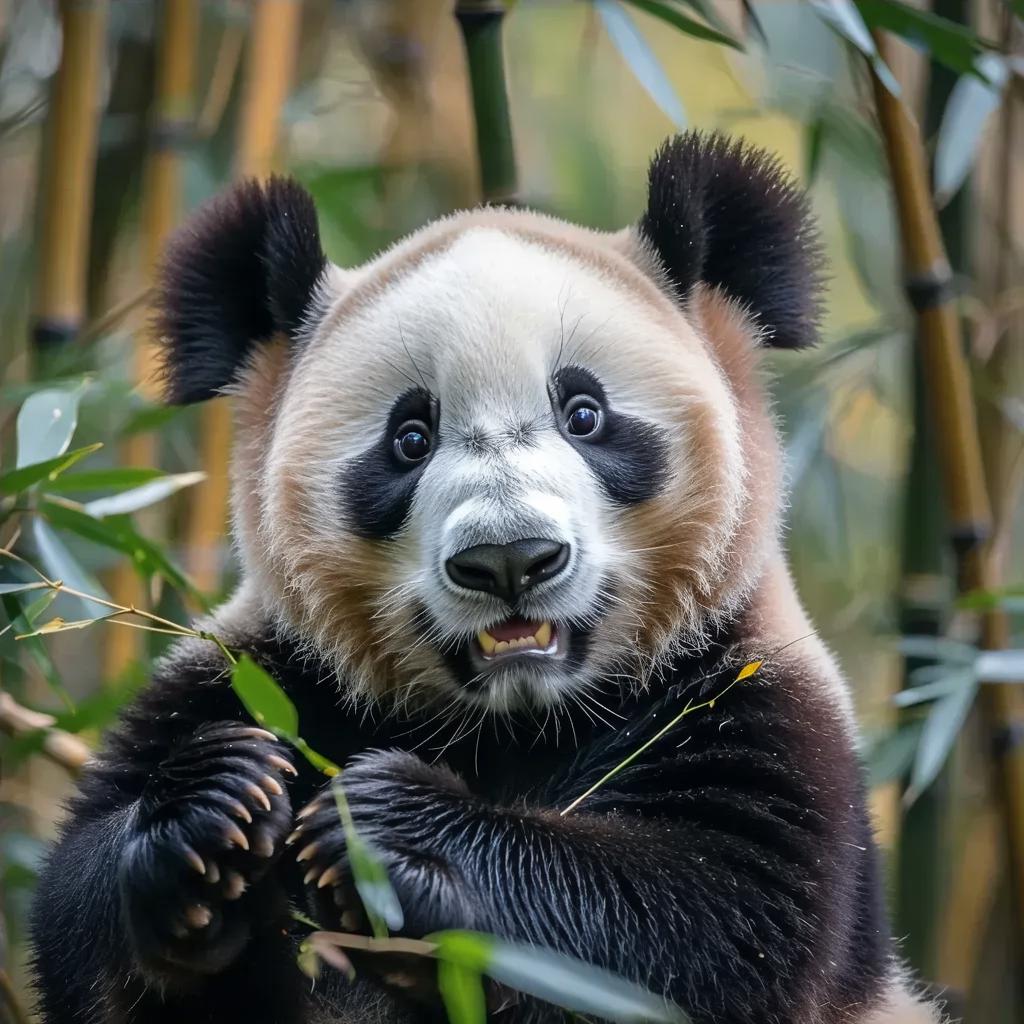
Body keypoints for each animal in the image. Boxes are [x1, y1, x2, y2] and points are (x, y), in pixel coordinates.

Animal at [30, 132, 938, 1024]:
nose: (510, 558)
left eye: (585, 414)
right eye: (410, 436)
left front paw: (396, 830)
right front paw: (213, 808)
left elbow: (715, 916)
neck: (513, 722)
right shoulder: (264, 673)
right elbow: (78, 921)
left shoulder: (754, 698)